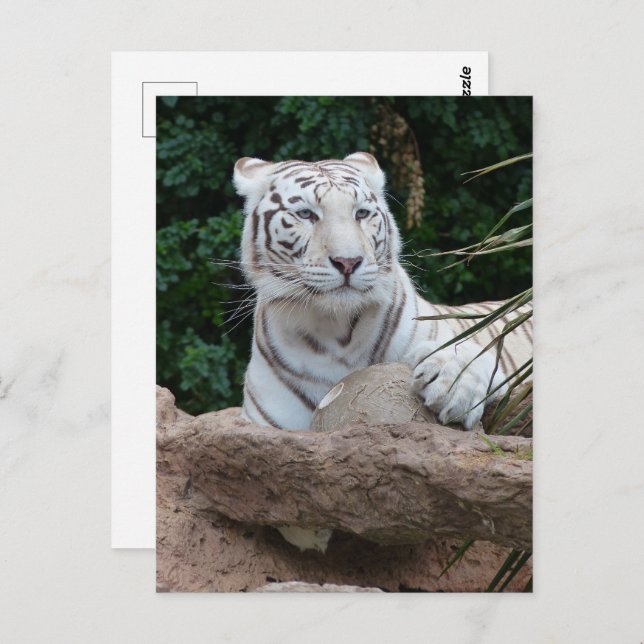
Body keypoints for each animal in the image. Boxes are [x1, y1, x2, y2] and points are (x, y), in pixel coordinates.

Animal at [232, 152, 532, 552]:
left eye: (361, 213)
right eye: (306, 214)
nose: (348, 262)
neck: (334, 330)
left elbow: (467, 354)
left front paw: (451, 388)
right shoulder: (269, 425)